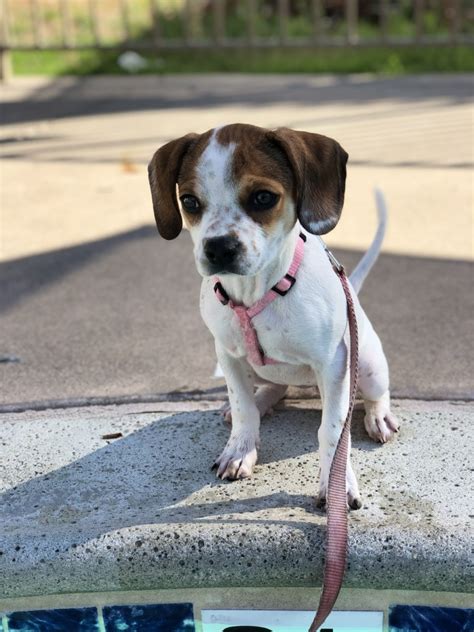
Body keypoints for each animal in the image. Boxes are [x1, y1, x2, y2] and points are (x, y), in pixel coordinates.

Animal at [148, 123, 400, 508]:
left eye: (263, 198)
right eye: (189, 202)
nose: (219, 248)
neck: (257, 292)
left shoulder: (334, 363)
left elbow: (332, 429)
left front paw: (337, 483)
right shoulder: (227, 355)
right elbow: (242, 408)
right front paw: (240, 448)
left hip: (367, 364)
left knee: (374, 394)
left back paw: (378, 415)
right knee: (274, 387)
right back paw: (262, 399)